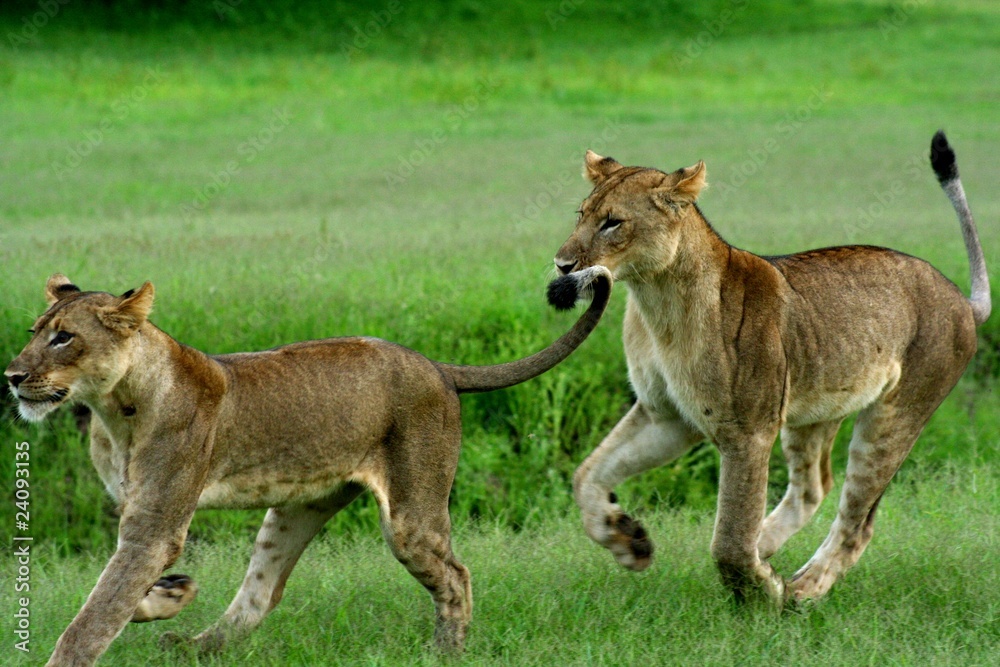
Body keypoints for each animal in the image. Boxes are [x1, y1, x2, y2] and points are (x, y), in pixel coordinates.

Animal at [5, 266, 611, 666]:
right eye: (35, 331)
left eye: (64, 337)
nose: (11, 376)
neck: (111, 410)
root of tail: (435, 365)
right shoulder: (141, 525)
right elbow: (118, 598)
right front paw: (170, 596)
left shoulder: (152, 530)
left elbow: (94, 617)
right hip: (296, 508)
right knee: (261, 594)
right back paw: (194, 649)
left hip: (410, 515)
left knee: (455, 576)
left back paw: (446, 653)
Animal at [549, 131, 989, 604]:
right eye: (581, 215)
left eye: (613, 222)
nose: (562, 265)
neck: (655, 300)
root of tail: (961, 300)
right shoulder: (664, 414)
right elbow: (587, 475)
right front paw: (626, 539)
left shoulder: (748, 430)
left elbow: (729, 538)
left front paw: (761, 594)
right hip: (815, 407)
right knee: (813, 487)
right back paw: (768, 549)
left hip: (896, 418)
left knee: (857, 523)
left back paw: (800, 591)